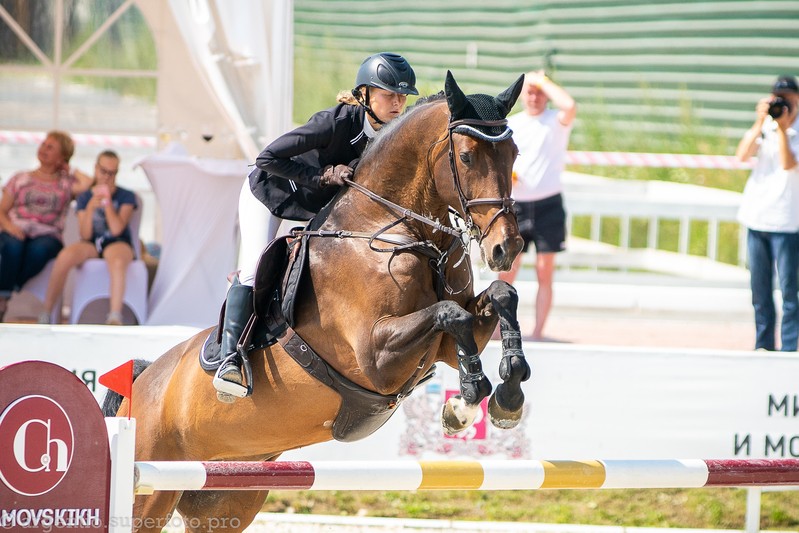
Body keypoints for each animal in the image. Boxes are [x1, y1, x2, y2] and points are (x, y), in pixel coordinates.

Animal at [108, 71, 532, 532]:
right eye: (468, 157)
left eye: (514, 153)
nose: (506, 248)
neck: (393, 228)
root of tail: (142, 381)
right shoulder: (375, 357)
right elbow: (450, 313)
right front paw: (465, 402)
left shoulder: (439, 348)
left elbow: (501, 297)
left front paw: (508, 394)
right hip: (148, 495)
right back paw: (230, 370)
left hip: (225, 498)